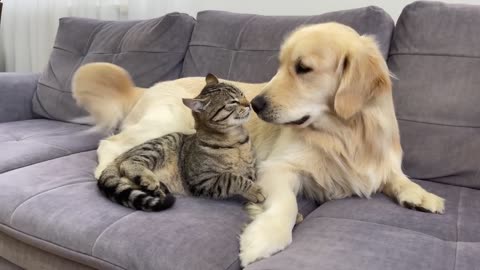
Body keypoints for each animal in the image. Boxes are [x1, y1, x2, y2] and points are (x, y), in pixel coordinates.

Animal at [96, 73, 262, 211]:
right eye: (232, 102)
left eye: (242, 94)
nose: (249, 104)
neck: (236, 139)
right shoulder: (202, 180)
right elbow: (233, 179)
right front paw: (255, 191)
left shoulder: (251, 170)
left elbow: (245, 177)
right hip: (157, 141)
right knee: (124, 160)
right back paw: (147, 179)